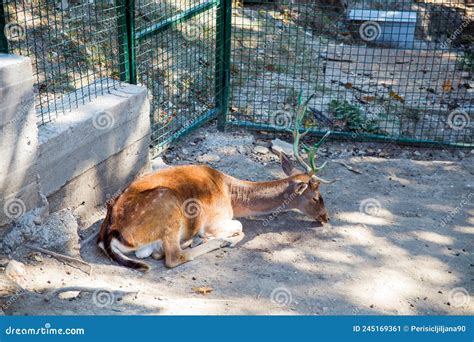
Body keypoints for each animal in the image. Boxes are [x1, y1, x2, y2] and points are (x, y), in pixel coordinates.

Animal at [97, 93, 334, 270]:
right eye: (316, 196)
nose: (326, 217)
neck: (231, 193)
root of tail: (108, 233)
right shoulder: (215, 218)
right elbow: (239, 226)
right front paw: (219, 237)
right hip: (167, 204)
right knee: (174, 257)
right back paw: (216, 241)